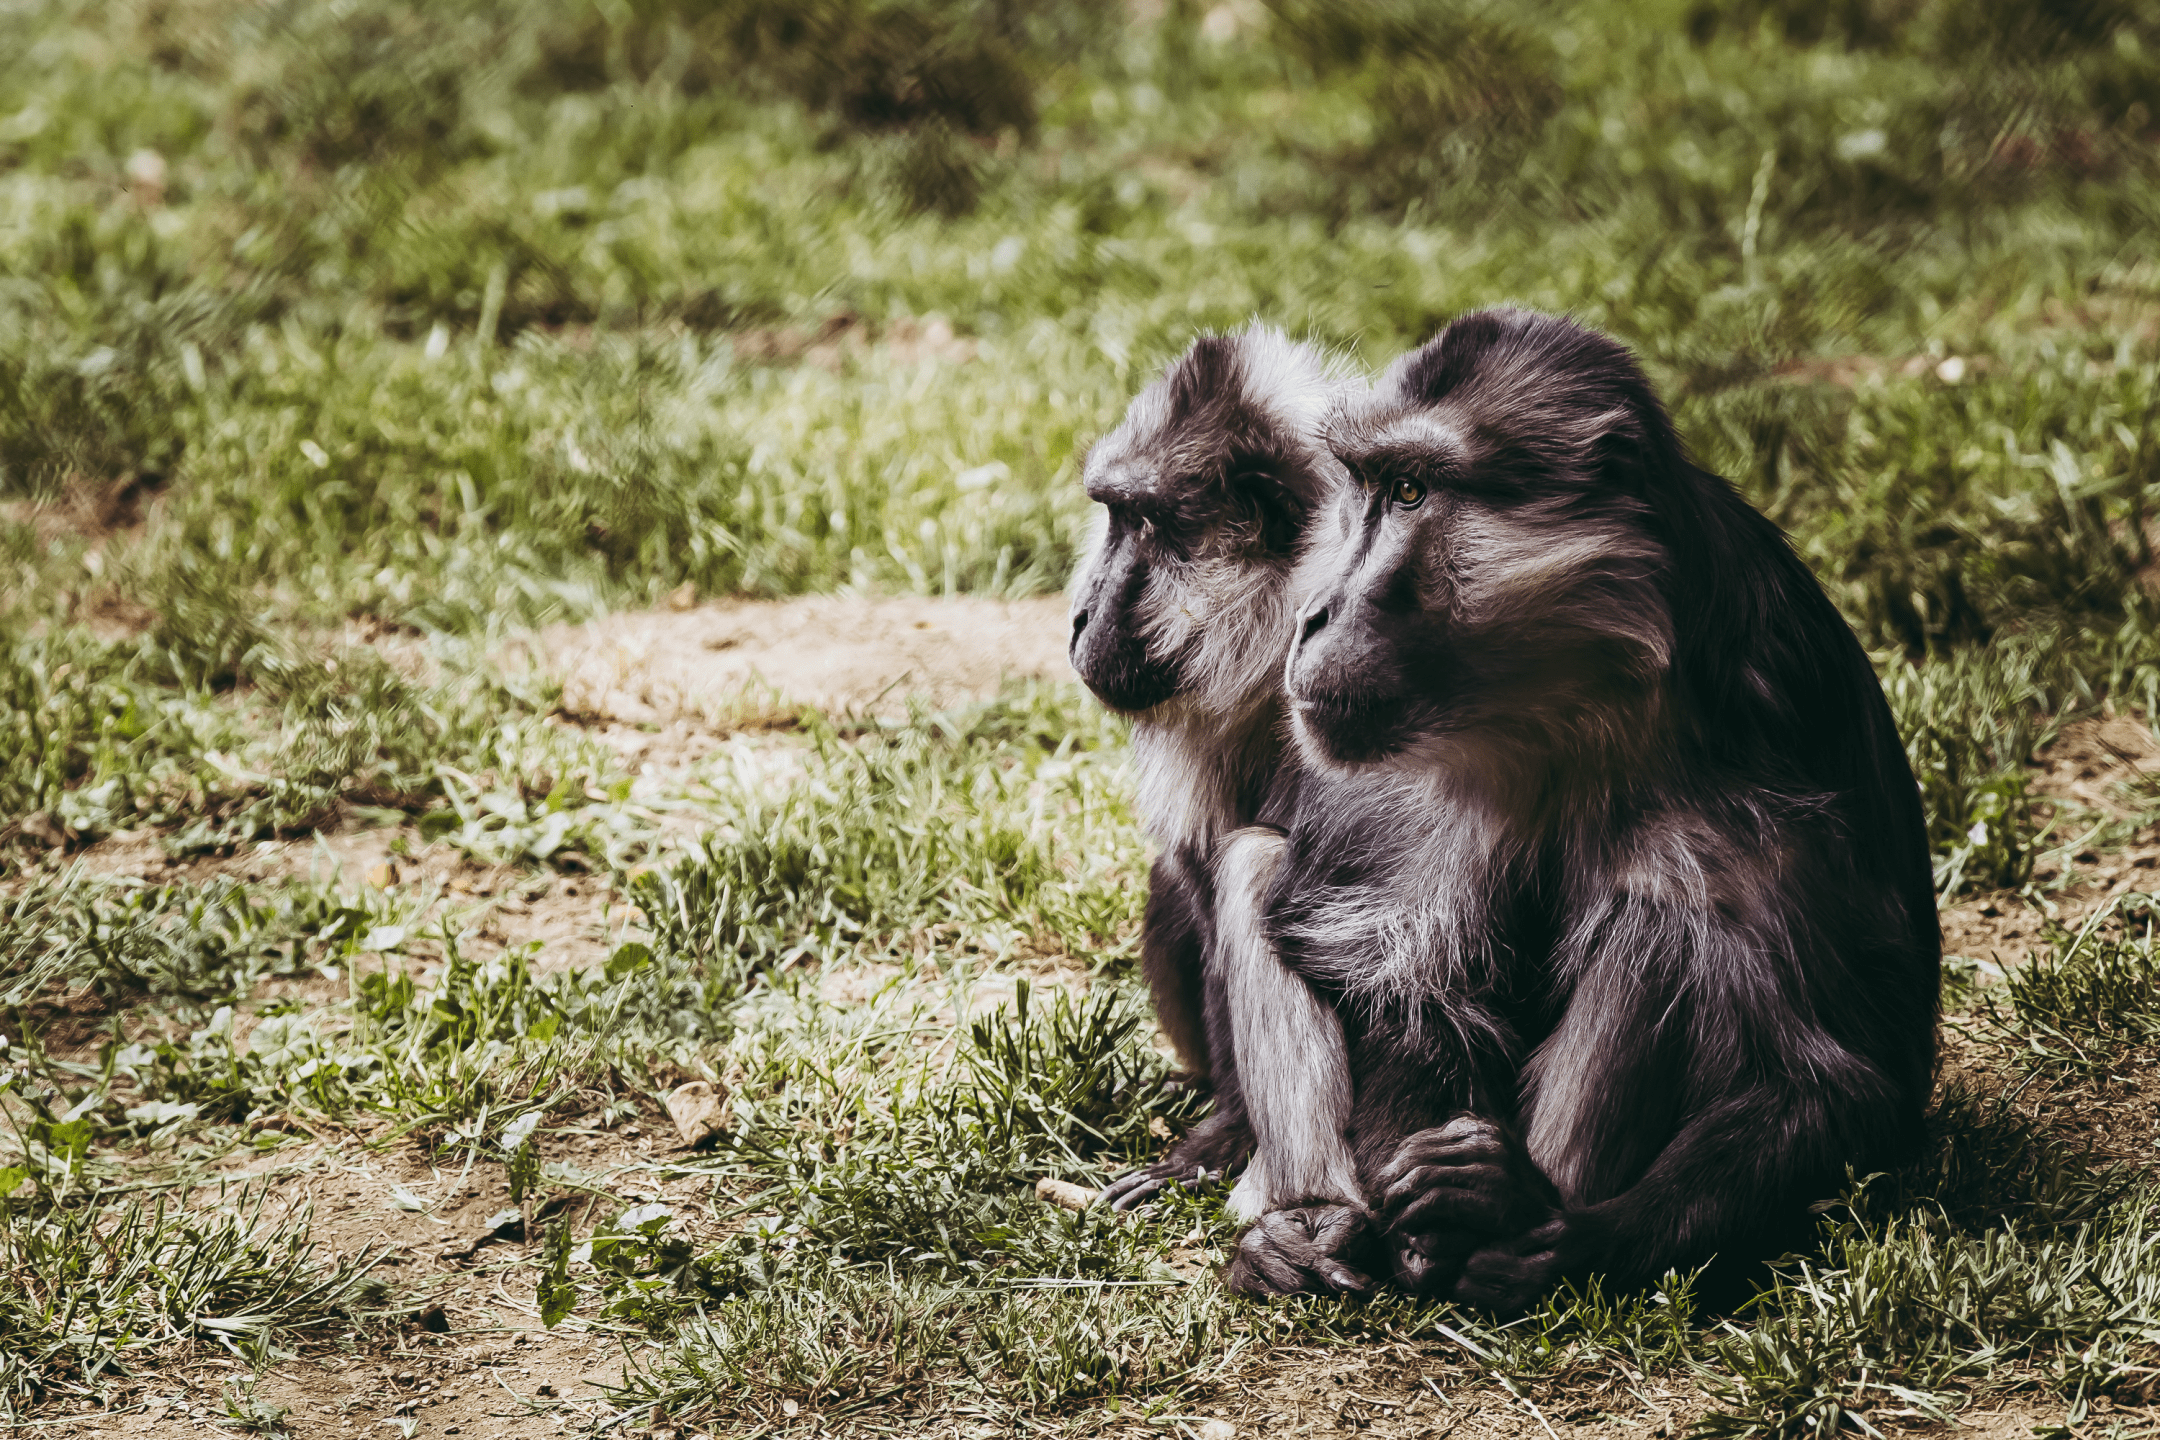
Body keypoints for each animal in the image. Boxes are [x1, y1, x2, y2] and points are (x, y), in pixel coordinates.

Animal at [1221, 308, 1940, 1309]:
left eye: (1411, 491)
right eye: (1364, 488)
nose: (1314, 614)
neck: (1569, 698)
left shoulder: (1760, 726)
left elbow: (1841, 1081)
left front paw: (1558, 1233)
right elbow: (1386, 965)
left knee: (1663, 911)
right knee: (1257, 862)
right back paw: (1311, 1224)